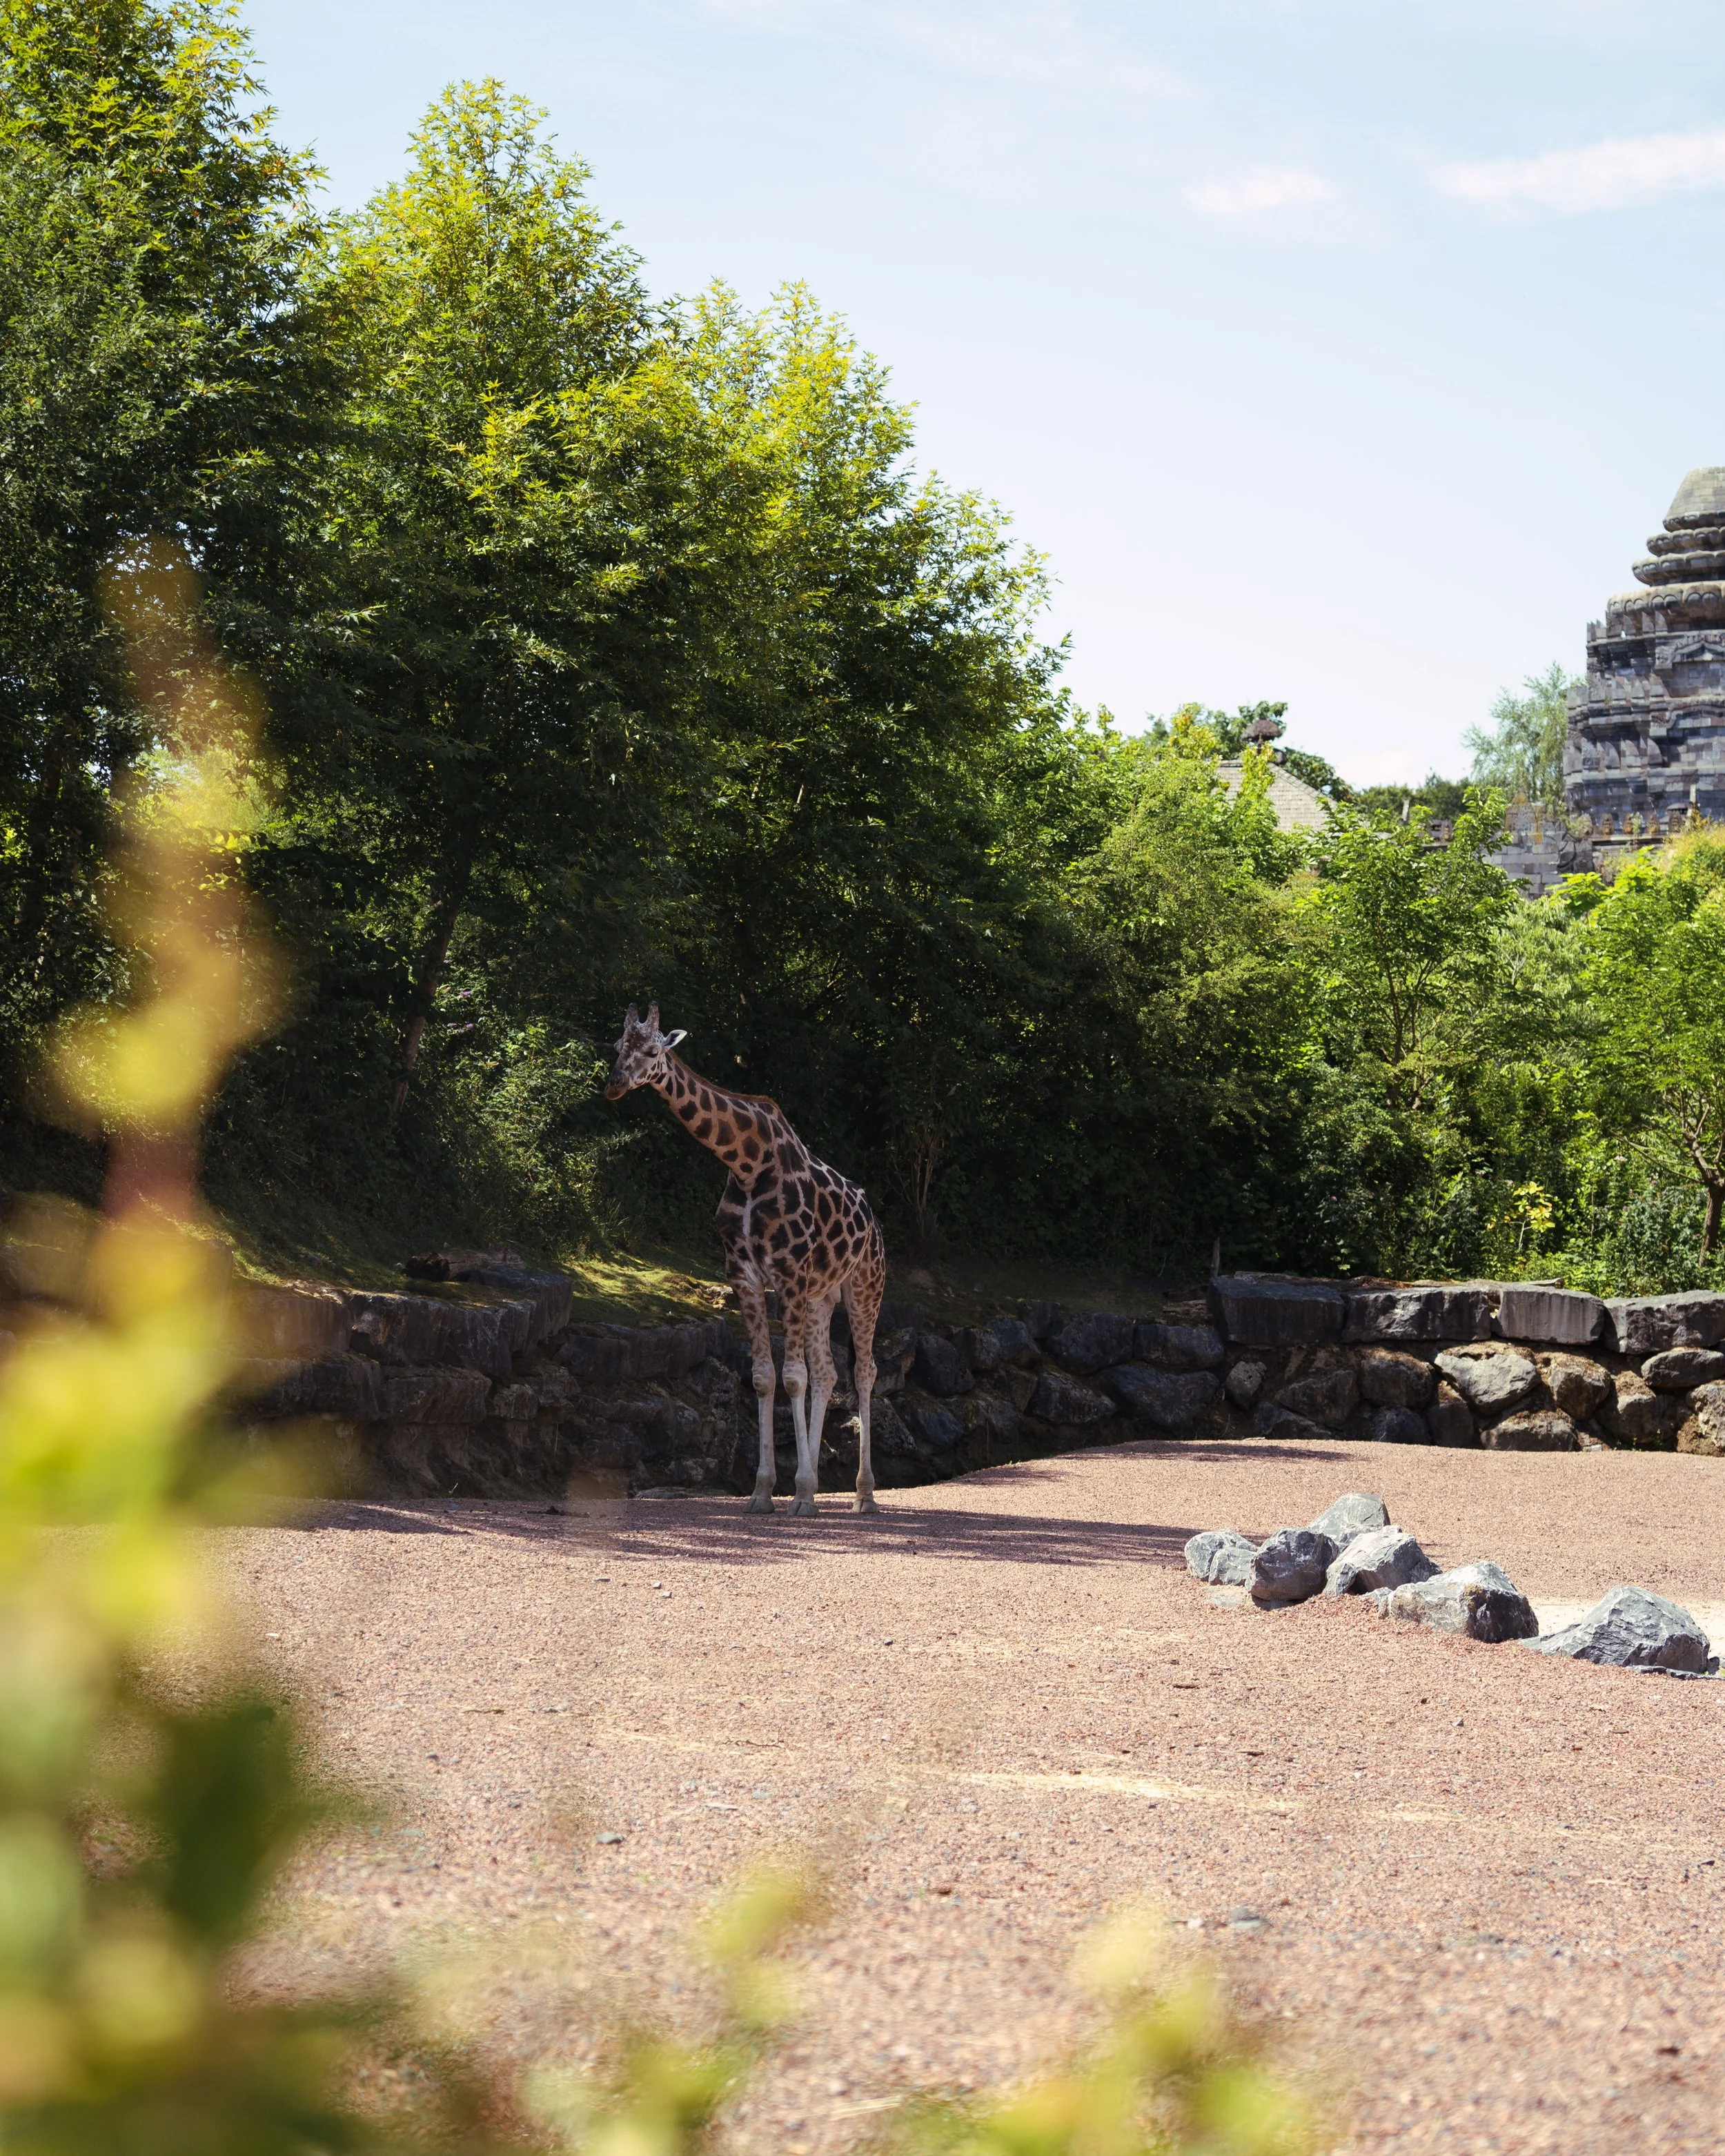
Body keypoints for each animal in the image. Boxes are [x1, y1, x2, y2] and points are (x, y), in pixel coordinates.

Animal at [604, 1003, 887, 1516]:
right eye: (617, 1047)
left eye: (653, 1051)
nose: (614, 1084)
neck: (747, 1163)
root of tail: (874, 1221)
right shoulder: (746, 1277)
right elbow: (763, 1378)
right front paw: (764, 1492)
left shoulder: (790, 1274)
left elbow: (792, 1379)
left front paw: (800, 1495)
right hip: (820, 1297)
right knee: (828, 1371)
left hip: (864, 1286)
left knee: (864, 1371)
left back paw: (864, 1495)